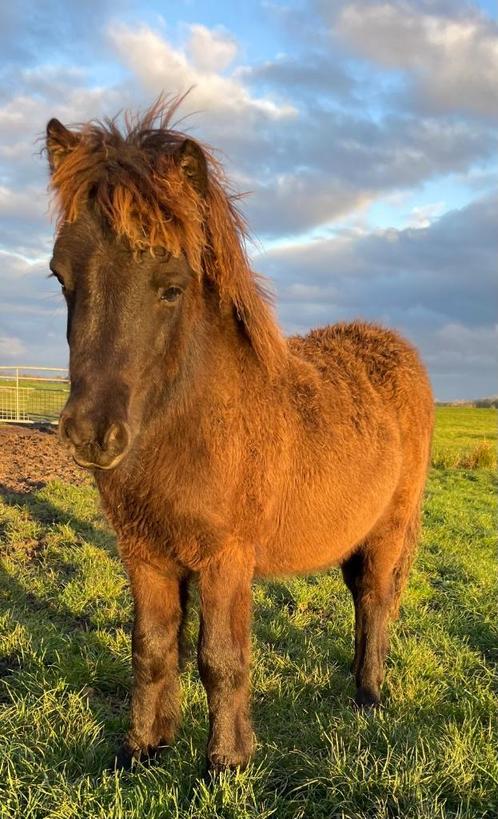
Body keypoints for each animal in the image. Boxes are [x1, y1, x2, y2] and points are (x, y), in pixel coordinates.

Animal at [45, 99, 436, 772]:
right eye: (61, 277)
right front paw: (143, 749)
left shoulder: (225, 558)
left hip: (389, 529)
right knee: (362, 599)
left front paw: (225, 763)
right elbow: (152, 650)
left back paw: (368, 695)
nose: (92, 434)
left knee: (376, 599)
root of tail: (399, 352)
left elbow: (220, 660)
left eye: (171, 287)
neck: (192, 427)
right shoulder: (145, 555)